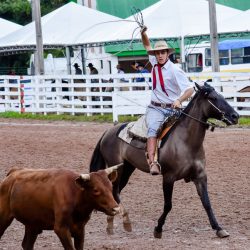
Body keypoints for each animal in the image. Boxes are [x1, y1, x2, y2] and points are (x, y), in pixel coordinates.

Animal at [89, 83, 238, 238]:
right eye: (213, 98)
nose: (235, 116)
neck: (185, 142)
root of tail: (108, 132)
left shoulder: (200, 176)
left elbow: (207, 203)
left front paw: (219, 228)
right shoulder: (168, 178)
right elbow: (168, 205)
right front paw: (158, 228)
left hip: (128, 168)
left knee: (115, 192)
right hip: (118, 169)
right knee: (114, 192)